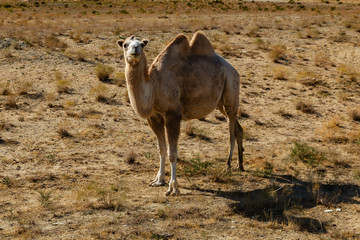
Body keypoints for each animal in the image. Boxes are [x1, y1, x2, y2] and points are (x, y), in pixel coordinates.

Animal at [118, 31, 245, 196]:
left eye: (142, 44)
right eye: (125, 44)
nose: (134, 50)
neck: (154, 86)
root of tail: (233, 69)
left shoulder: (173, 115)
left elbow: (172, 154)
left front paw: (173, 188)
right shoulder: (154, 117)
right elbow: (161, 149)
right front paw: (158, 180)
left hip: (231, 88)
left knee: (231, 132)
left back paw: (228, 166)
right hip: (220, 103)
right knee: (238, 128)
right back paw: (240, 165)